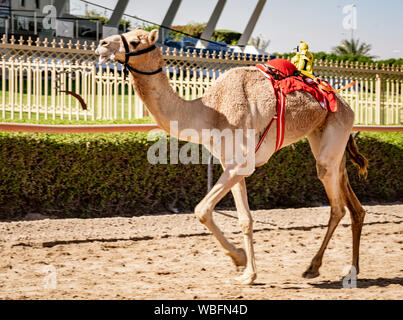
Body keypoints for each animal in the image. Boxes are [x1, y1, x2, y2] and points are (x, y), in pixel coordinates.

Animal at [95, 28, 370, 284]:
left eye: (135, 41)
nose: (102, 43)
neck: (209, 112)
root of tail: (346, 104)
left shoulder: (241, 164)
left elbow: (202, 209)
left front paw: (241, 262)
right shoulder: (232, 165)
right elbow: (244, 219)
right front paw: (246, 267)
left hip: (334, 132)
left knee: (336, 205)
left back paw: (314, 267)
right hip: (325, 139)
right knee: (353, 204)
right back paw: (352, 269)